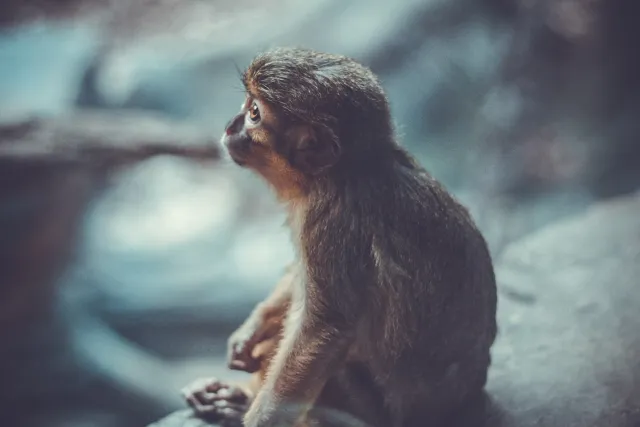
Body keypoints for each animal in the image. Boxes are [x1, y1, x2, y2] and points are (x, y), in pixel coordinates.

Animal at [182, 47, 498, 427]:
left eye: (254, 113)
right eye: (247, 105)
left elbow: (324, 330)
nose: (231, 125)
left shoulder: (332, 220)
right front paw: (249, 330)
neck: (344, 173)